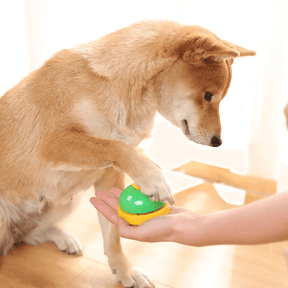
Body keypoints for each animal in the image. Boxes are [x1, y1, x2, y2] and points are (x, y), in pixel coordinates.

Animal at [0, 20, 256, 288]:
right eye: (207, 96)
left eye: (218, 98)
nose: (218, 142)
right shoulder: (53, 143)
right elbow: (114, 146)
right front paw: (153, 177)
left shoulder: (108, 174)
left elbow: (113, 236)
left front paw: (125, 272)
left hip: (68, 201)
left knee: (31, 235)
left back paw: (63, 238)